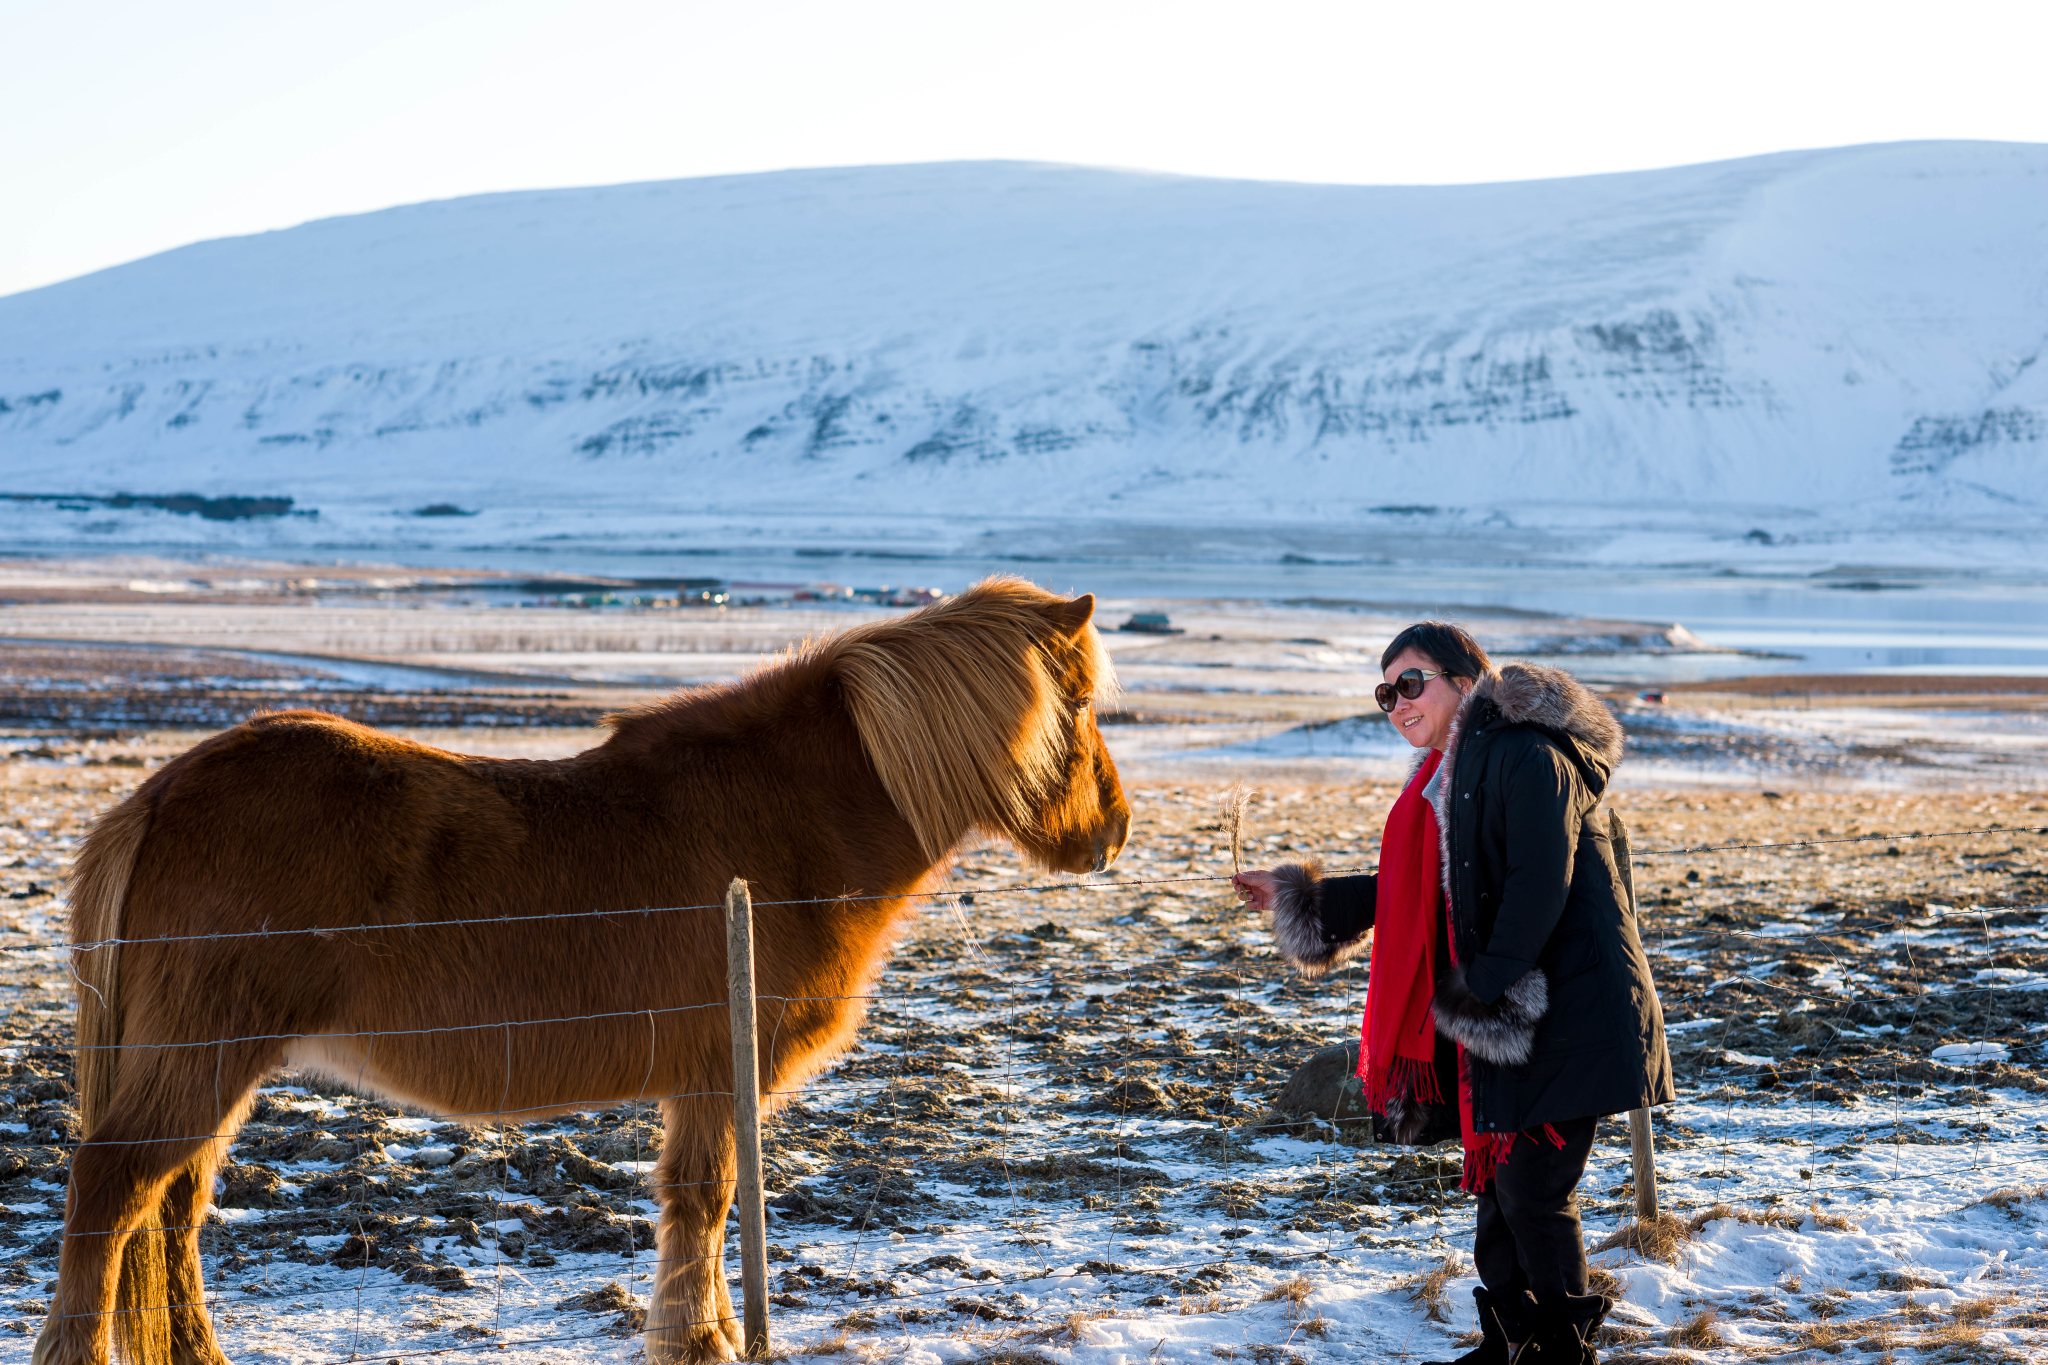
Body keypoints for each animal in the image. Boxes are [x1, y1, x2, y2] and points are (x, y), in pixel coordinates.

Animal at [39, 577, 1130, 1365]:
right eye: (1076, 705)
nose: (1112, 833)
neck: (790, 822)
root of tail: (162, 794)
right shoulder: (718, 1072)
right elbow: (706, 1201)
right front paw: (699, 1342)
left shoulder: (705, 1080)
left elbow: (697, 1204)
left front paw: (702, 1333)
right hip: (205, 1055)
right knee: (113, 1190)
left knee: (172, 1210)